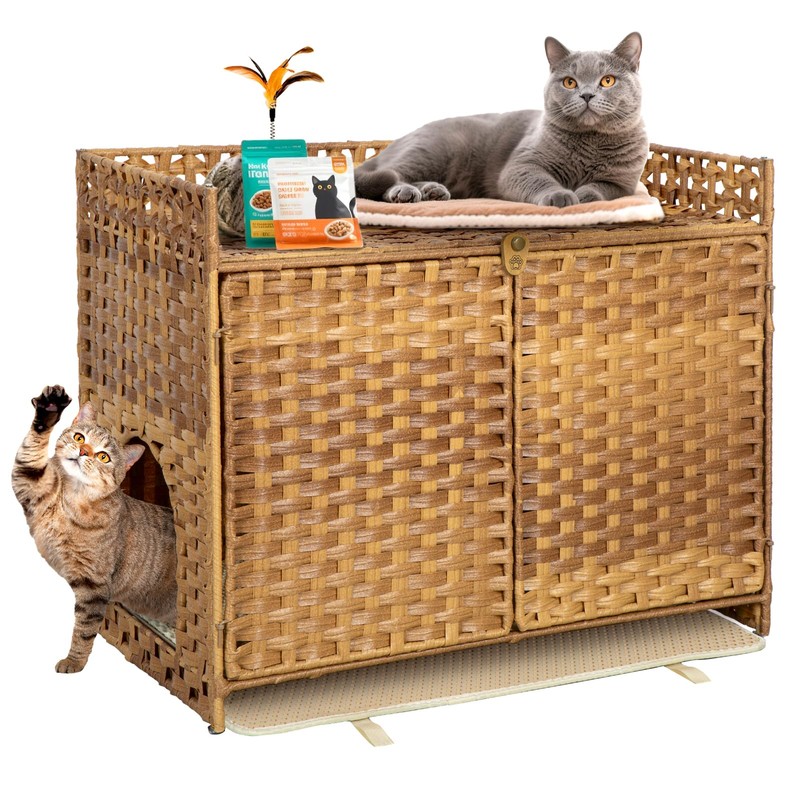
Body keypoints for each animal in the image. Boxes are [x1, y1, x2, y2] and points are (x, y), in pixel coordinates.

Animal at [11, 386, 177, 673]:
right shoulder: (27, 483)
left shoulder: (94, 586)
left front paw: (74, 661)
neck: (71, 498)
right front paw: (49, 409)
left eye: (103, 456)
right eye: (80, 437)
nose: (84, 451)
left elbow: (84, 630)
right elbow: (30, 453)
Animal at [355, 32, 648, 207]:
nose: (586, 94)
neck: (590, 144)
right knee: (393, 175)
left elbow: (601, 188)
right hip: (433, 149)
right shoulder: (521, 165)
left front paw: (583, 194)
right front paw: (561, 195)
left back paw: (433, 191)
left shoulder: (623, 184)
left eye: (607, 80)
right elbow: (540, 180)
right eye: (569, 82)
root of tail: (394, 143)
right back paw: (406, 192)